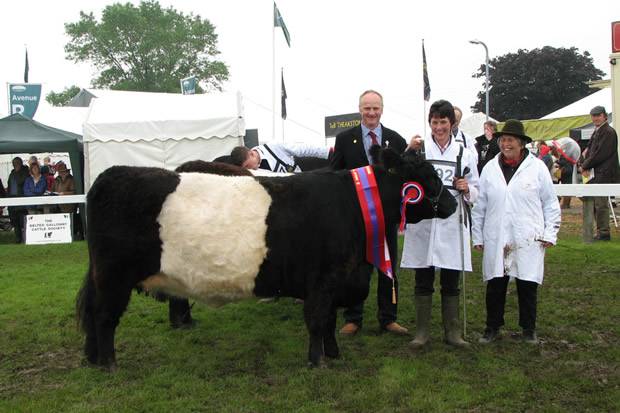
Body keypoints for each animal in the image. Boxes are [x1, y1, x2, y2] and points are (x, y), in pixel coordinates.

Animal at [76, 148, 456, 366]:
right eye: (425, 175)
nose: (453, 203)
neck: (352, 205)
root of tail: (111, 175)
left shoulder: (335, 281)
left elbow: (330, 321)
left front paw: (333, 353)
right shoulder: (323, 281)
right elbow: (317, 320)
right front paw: (318, 362)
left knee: (92, 312)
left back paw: (93, 358)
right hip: (114, 277)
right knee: (104, 316)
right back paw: (108, 362)